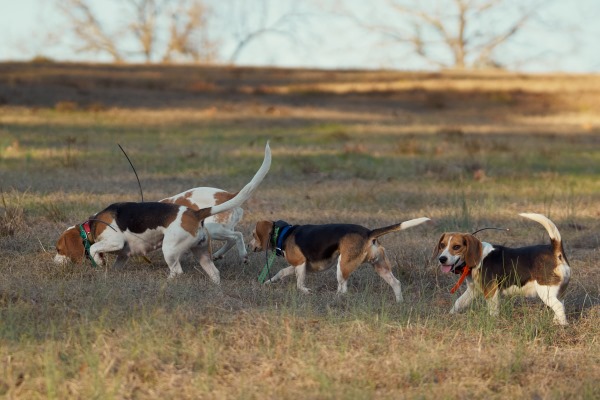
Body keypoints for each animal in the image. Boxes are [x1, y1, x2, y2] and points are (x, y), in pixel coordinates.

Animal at [55, 142, 270, 280]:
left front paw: (98, 261)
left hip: (177, 245)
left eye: (58, 249)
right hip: (201, 249)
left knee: (231, 240)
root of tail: (195, 213)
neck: (91, 225)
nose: (54, 262)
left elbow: (94, 248)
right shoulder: (123, 254)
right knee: (216, 268)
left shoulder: (115, 241)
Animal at [250, 217, 432, 302]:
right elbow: (281, 272)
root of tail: (369, 233)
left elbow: (299, 284)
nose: (250, 245)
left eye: (253, 234)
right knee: (396, 283)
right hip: (380, 266)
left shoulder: (301, 263)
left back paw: (334, 298)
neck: (284, 233)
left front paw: (307, 292)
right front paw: (268, 282)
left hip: (342, 265)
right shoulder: (300, 265)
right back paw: (399, 302)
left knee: (343, 288)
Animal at [434, 214, 568, 324]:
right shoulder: (473, 290)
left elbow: (492, 309)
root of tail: (554, 250)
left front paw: (492, 321)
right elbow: (458, 302)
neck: (478, 258)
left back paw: (561, 325)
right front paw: (450, 314)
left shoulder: (491, 291)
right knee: (561, 305)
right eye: (442, 245)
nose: (442, 259)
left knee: (559, 307)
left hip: (545, 291)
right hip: (558, 292)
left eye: (456, 247)